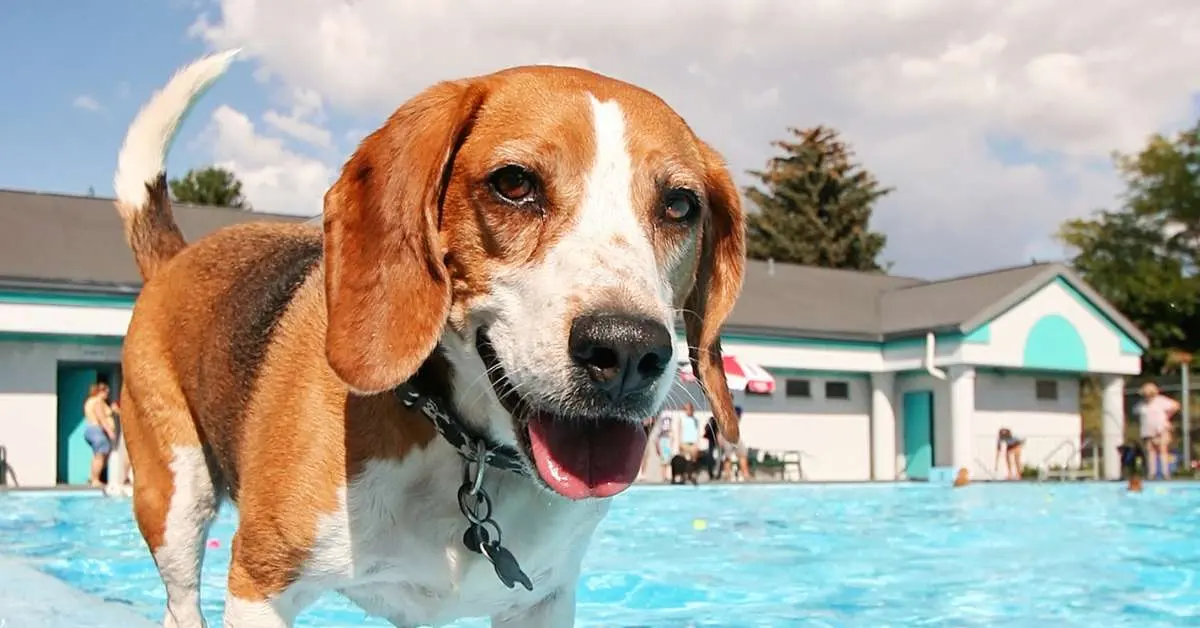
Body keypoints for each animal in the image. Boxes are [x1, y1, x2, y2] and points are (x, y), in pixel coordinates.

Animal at [117, 49, 744, 628]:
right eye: (514, 183)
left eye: (680, 205)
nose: (628, 349)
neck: (466, 449)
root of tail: (176, 257)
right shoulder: (261, 585)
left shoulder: (543, 602)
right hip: (177, 502)